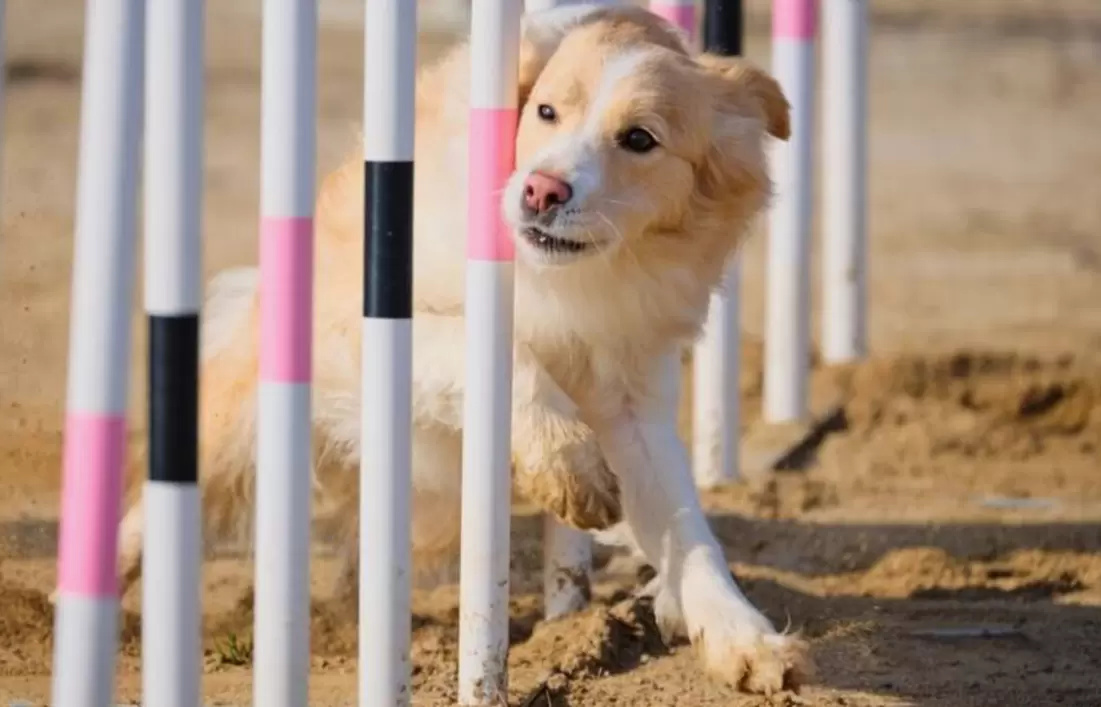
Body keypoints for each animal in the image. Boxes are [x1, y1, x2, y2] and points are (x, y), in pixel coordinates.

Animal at [109, 1, 810, 695]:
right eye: (545, 112)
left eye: (640, 139)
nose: (541, 190)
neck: (570, 279)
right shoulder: (363, 322)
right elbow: (490, 351)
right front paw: (567, 462)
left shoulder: (633, 404)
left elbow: (685, 526)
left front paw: (744, 639)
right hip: (240, 420)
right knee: (159, 504)